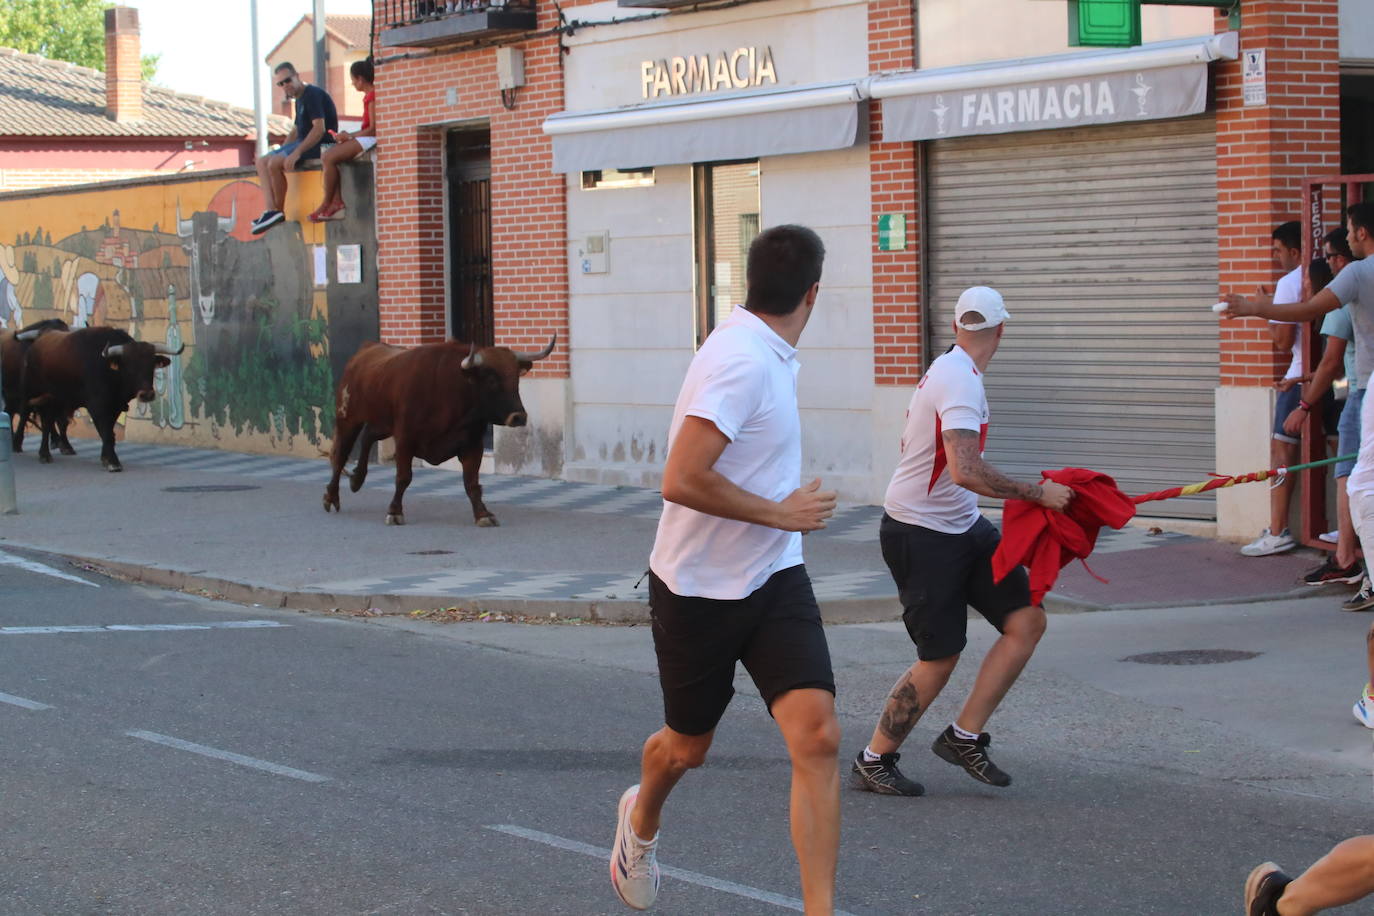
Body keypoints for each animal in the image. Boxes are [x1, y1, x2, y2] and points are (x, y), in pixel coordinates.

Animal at [324, 333, 555, 527]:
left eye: (516, 379)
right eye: (491, 379)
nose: (519, 417)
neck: (451, 391)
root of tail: (366, 350)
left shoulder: (472, 445)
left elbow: (472, 483)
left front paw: (482, 514)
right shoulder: (405, 439)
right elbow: (403, 477)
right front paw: (395, 511)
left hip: (382, 423)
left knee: (368, 436)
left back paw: (357, 479)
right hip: (348, 418)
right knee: (340, 456)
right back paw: (331, 496)